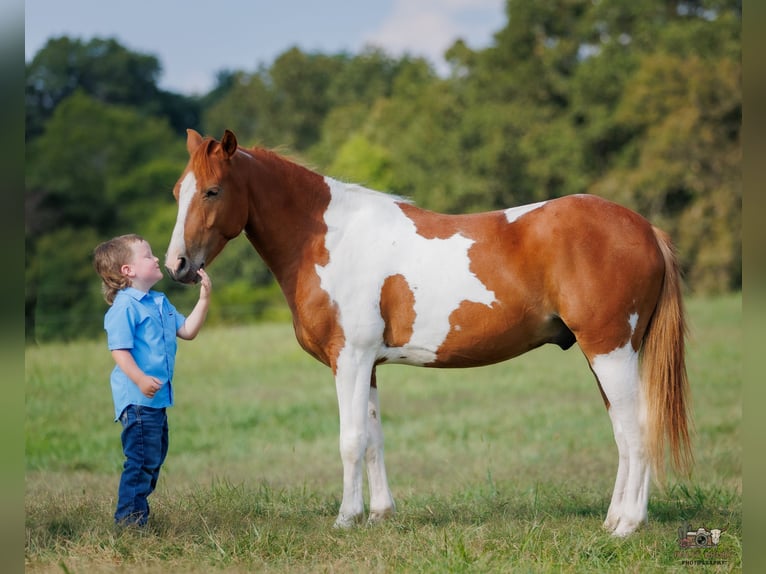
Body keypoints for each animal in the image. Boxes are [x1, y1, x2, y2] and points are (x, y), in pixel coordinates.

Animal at [165, 129, 692, 537]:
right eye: (176, 191)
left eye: (212, 191)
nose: (178, 265)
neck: (328, 238)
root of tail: (645, 229)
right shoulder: (367, 365)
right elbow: (374, 438)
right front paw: (379, 515)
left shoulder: (349, 358)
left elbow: (351, 439)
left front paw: (346, 518)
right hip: (603, 355)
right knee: (623, 431)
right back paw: (613, 520)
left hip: (610, 352)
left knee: (636, 429)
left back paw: (628, 525)